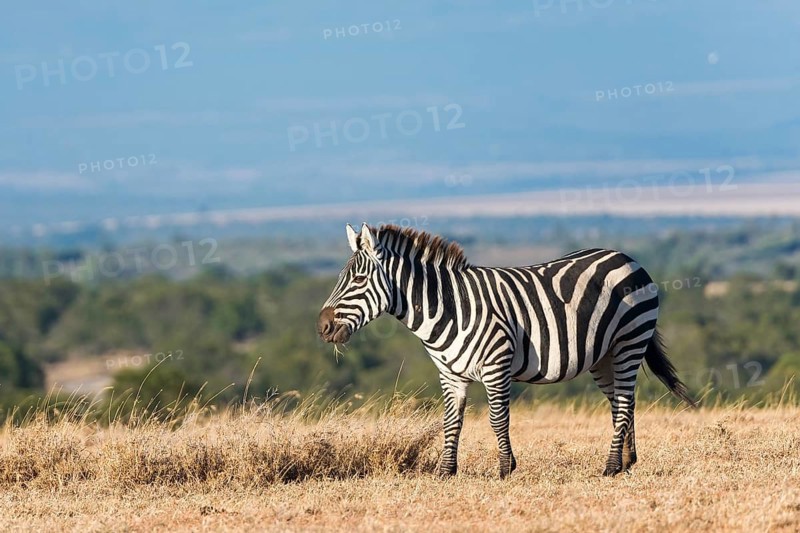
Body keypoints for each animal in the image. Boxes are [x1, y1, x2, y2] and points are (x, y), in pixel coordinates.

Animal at [317, 223, 696, 478]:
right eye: (341, 278)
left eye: (358, 280)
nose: (322, 327)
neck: (450, 307)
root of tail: (627, 257)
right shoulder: (450, 374)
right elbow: (451, 421)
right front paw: (445, 471)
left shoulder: (496, 365)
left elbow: (498, 419)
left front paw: (505, 468)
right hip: (603, 356)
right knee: (621, 402)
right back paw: (626, 462)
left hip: (630, 340)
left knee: (625, 401)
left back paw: (611, 465)